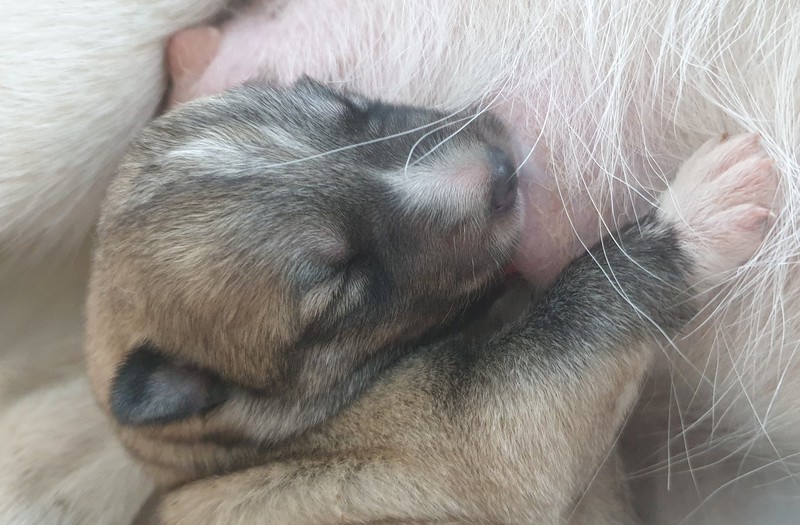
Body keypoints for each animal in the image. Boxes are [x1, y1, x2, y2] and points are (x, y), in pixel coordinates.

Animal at [85, 79, 776, 523]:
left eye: (352, 107)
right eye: (347, 281)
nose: (501, 170)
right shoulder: (481, 430)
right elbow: (578, 312)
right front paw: (699, 212)